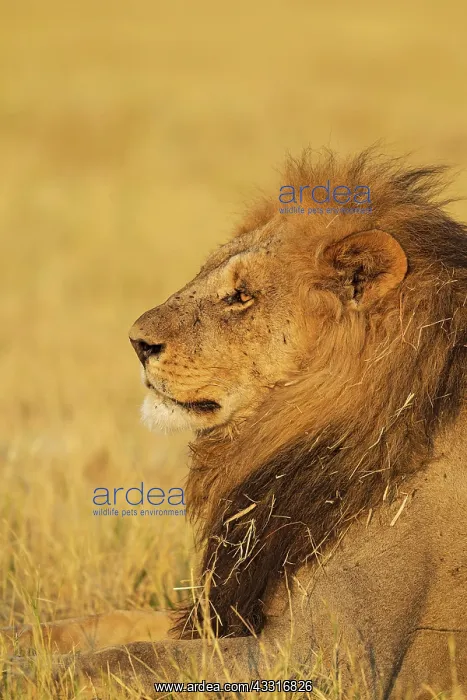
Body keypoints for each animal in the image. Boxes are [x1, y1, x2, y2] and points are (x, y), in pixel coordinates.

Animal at [2, 148, 467, 698]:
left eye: (241, 296)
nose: (137, 343)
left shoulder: (332, 658)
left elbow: (132, 655)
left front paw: (26, 672)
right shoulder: (224, 611)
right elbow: (109, 623)